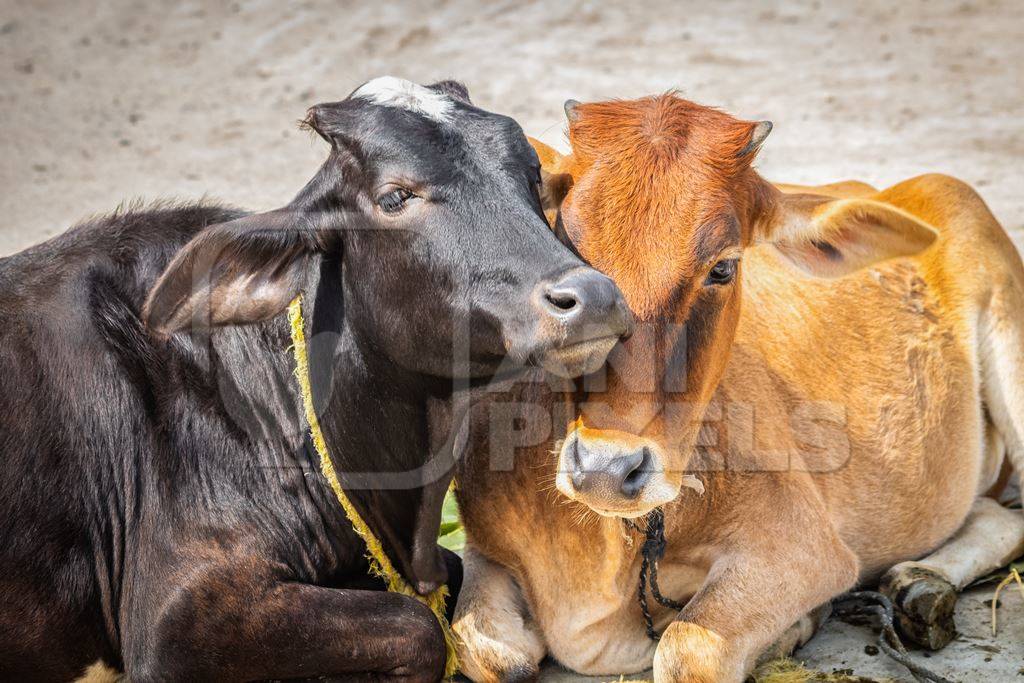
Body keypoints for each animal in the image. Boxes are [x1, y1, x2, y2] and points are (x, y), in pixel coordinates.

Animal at [452, 94, 1024, 683]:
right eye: (563, 244)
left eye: (723, 267)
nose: (606, 470)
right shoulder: (483, 550)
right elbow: (486, 651)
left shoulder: (805, 547)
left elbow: (685, 648)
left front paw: (794, 628)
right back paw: (918, 586)